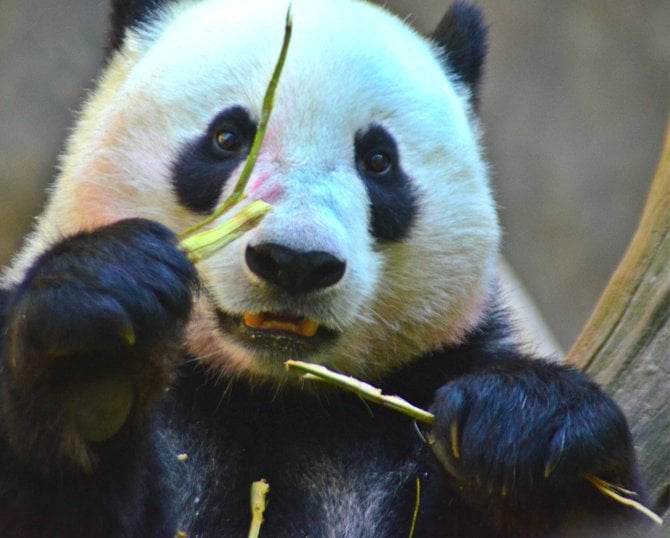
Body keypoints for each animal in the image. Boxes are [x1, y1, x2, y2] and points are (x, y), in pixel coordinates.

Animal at [0, 0, 652, 532]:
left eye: (379, 161)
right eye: (228, 137)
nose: (295, 262)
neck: (270, 395)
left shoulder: (408, 398)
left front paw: (526, 433)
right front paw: (88, 355)